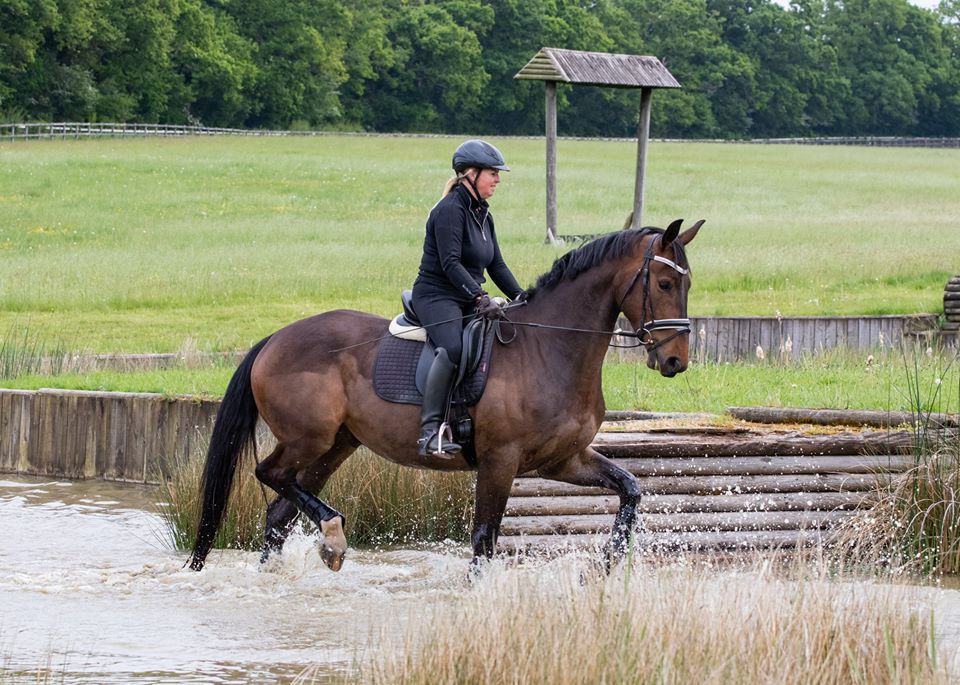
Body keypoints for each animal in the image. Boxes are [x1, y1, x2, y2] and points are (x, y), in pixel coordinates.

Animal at [188, 218, 703, 573]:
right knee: (270, 475)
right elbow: (484, 539)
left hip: (336, 445)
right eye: (663, 283)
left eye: (688, 283)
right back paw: (333, 535)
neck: (550, 348)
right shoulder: (500, 460)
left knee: (280, 511)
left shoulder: (562, 460)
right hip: (307, 438)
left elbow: (630, 489)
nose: (675, 361)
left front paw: (606, 564)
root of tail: (273, 339)